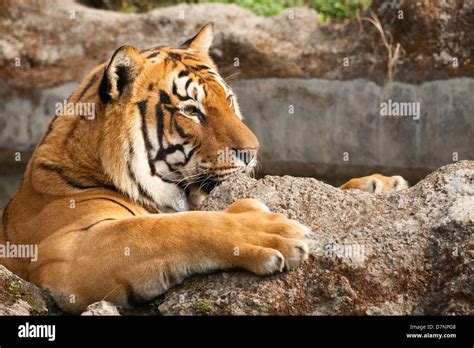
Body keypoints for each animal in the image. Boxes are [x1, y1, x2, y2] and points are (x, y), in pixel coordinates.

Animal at [0, 23, 310, 314]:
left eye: (229, 100)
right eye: (191, 110)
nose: (252, 151)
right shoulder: (71, 248)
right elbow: (175, 227)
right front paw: (274, 229)